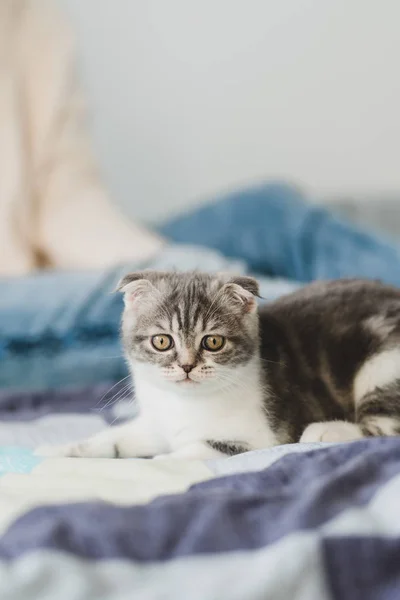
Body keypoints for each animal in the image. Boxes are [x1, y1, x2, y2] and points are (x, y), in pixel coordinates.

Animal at [39, 272, 400, 460]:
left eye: (212, 342)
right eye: (162, 341)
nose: (186, 366)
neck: (184, 404)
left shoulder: (254, 439)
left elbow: (187, 452)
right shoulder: (156, 424)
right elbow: (116, 437)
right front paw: (61, 451)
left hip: (381, 364)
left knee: (387, 429)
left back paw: (327, 430)